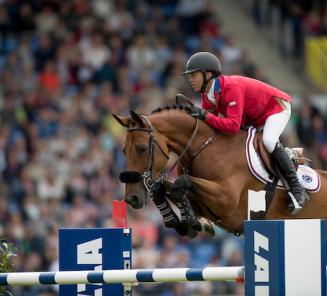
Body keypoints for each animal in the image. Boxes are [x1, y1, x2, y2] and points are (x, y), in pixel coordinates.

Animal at [113, 104, 327, 238]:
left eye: (141, 148)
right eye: (123, 151)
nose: (131, 198)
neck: (203, 147)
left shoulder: (226, 200)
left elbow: (180, 183)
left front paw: (191, 221)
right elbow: (165, 188)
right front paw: (185, 223)